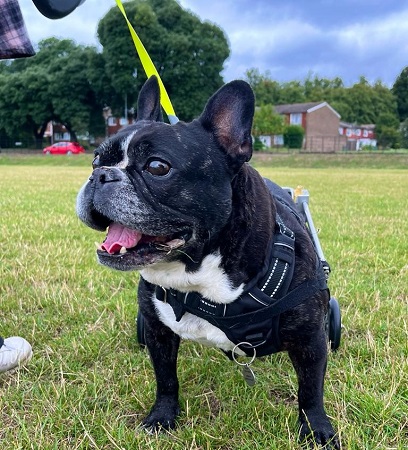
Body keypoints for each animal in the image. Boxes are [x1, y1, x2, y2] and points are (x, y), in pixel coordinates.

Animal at [77, 75, 342, 448]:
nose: (100, 176)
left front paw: (317, 431)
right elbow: (166, 379)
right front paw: (161, 418)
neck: (197, 274)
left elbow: (310, 391)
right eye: (96, 160)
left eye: (157, 167)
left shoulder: (310, 339)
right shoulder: (157, 331)